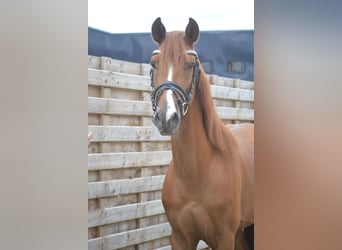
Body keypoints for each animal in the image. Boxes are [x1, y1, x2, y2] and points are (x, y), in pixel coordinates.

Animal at [150, 17, 254, 250]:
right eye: (153, 64)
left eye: (190, 65)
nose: (167, 117)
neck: (197, 173)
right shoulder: (180, 237)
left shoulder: (224, 238)